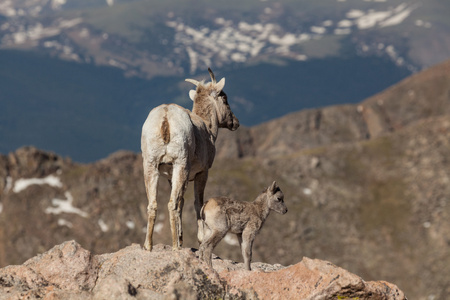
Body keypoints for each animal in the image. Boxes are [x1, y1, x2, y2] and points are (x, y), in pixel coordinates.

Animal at [142, 68, 239, 251]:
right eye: (225, 98)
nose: (235, 123)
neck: (207, 129)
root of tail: (165, 117)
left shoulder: (171, 177)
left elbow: (182, 202)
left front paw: (182, 239)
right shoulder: (202, 173)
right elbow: (197, 203)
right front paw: (199, 240)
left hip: (151, 166)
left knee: (153, 204)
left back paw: (148, 247)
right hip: (180, 164)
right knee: (171, 204)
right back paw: (175, 247)